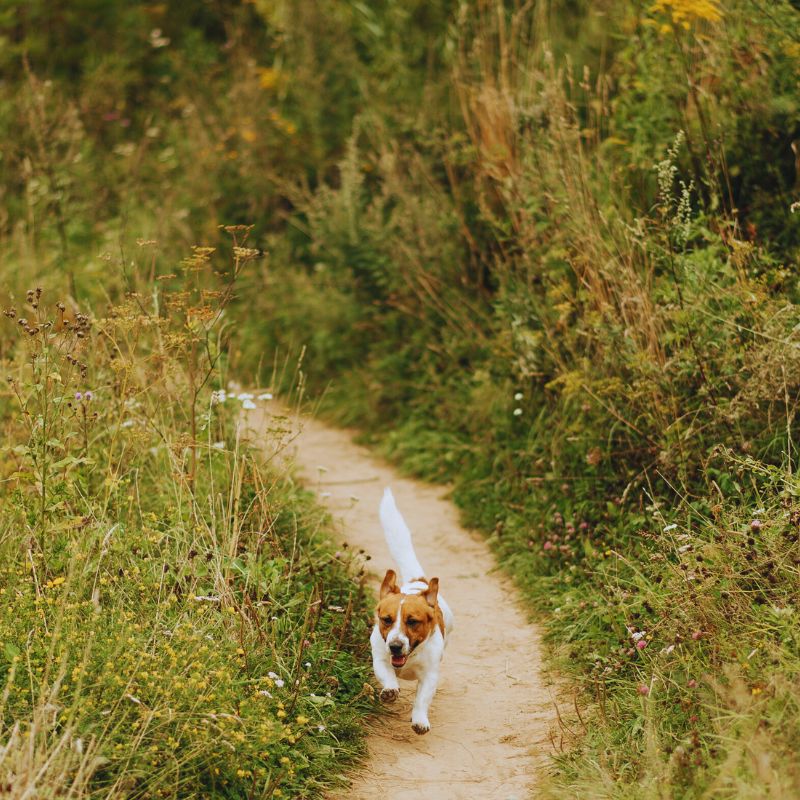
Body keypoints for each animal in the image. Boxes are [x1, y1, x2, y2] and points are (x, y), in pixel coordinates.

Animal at [370, 484, 454, 736]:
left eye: (413, 621)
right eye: (386, 619)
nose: (396, 646)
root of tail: (419, 582)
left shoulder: (429, 676)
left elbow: (422, 699)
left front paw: (419, 720)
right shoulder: (380, 658)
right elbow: (387, 674)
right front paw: (390, 690)